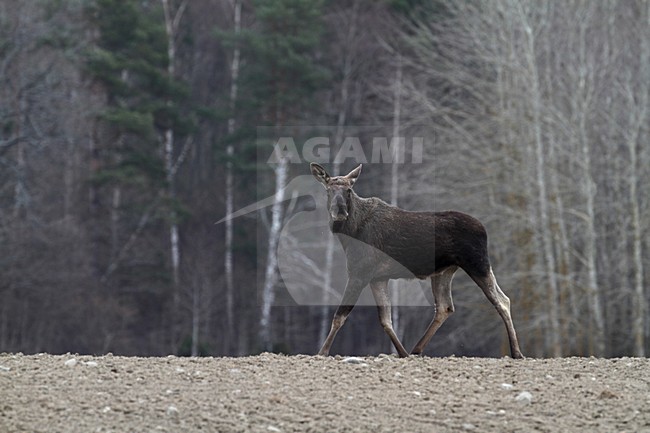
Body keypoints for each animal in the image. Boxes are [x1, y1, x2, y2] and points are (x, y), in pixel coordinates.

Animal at [310, 162, 524, 359]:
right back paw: (416, 349)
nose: (340, 213)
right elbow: (386, 320)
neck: (349, 235)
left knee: (502, 300)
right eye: (328, 190)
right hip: (445, 271)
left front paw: (322, 352)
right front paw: (402, 352)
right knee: (445, 307)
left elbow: (340, 316)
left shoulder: (359, 272)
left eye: (349, 190)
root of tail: (484, 228)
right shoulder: (377, 278)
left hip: (477, 263)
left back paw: (517, 352)